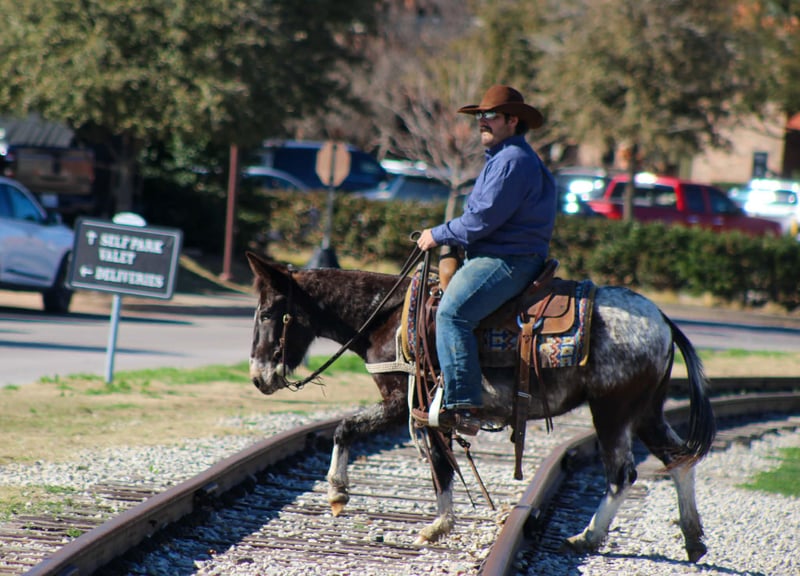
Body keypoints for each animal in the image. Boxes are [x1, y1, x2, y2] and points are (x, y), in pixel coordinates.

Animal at [245, 251, 716, 563]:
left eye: (268, 313)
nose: (258, 378)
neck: (386, 318)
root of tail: (662, 320)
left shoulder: (405, 403)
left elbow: (376, 440)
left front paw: (350, 496)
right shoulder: (423, 411)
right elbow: (434, 460)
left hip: (612, 412)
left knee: (622, 475)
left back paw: (587, 538)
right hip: (646, 411)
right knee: (680, 461)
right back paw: (693, 539)